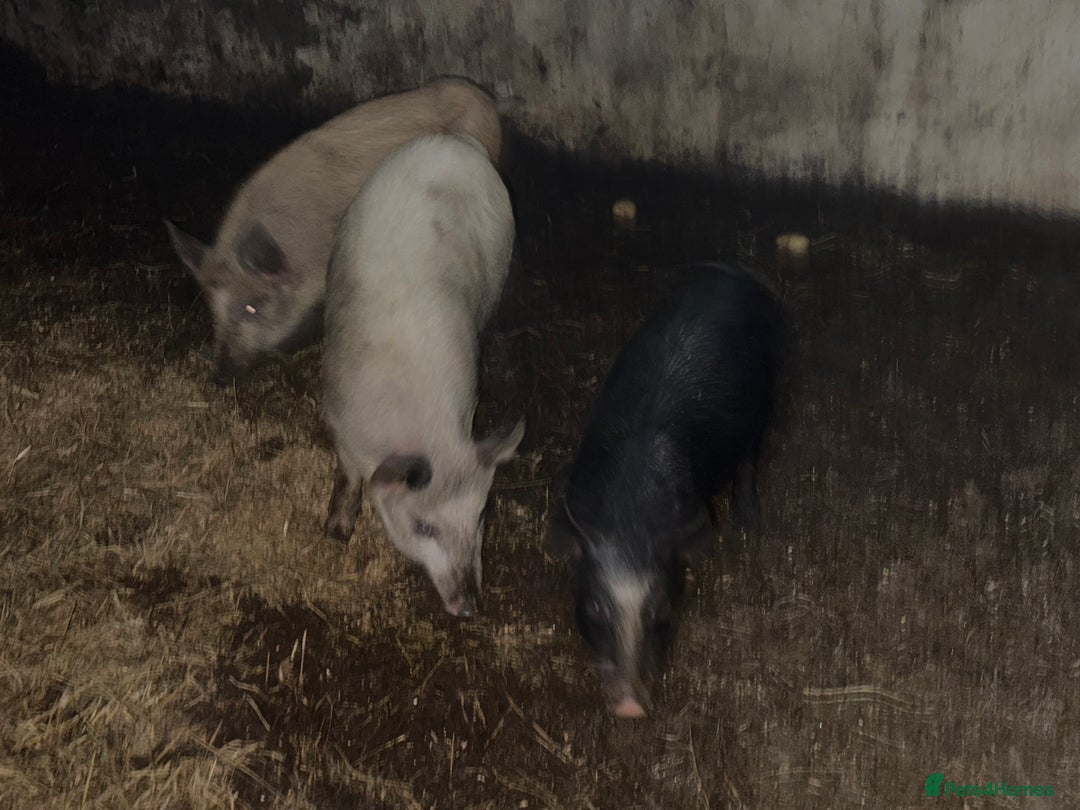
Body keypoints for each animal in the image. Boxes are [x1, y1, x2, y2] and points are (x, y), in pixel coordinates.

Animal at [321, 133, 524, 618]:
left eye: (482, 515)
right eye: (423, 527)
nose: (469, 607)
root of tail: (453, 143)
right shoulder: (337, 415)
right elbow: (347, 475)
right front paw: (336, 533)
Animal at [550, 264, 782, 717]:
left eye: (661, 608)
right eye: (595, 607)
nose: (630, 708)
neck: (629, 519)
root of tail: (737, 280)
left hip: (764, 393)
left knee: (750, 455)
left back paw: (748, 525)